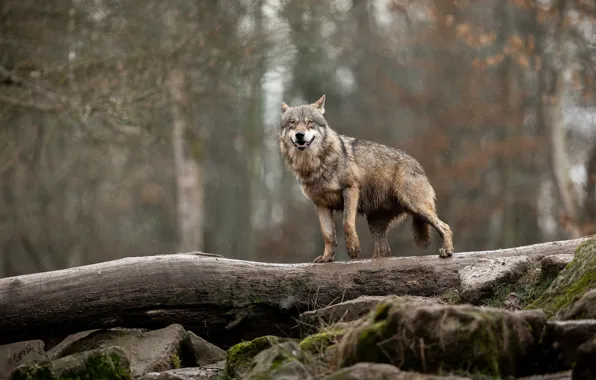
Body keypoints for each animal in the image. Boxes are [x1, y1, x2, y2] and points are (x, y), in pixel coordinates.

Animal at [278, 94, 454, 264]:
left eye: (310, 122)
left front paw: (353, 248)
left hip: (416, 207)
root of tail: (417, 164)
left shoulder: (350, 190)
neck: (315, 164)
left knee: (445, 226)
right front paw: (327, 258)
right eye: (292, 123)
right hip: (375, 222)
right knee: (384, 252)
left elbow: (347, 223)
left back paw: (447, 250)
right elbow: (327, 235)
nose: (299, 135)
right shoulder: (321, 205)